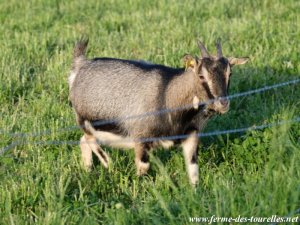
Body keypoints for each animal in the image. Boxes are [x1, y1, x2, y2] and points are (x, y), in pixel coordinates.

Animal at [68, 38, 248, 185]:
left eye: (230, 73)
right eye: (201, 76)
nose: (222, 103)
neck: (168, 93)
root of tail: (80, 64)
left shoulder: (191, 135)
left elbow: (193, 169)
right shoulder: (141, 138)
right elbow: (143, 168)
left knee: (83, 140)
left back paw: (88, 170)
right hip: (84, 119)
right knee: (89, 139)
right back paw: (108, 163)